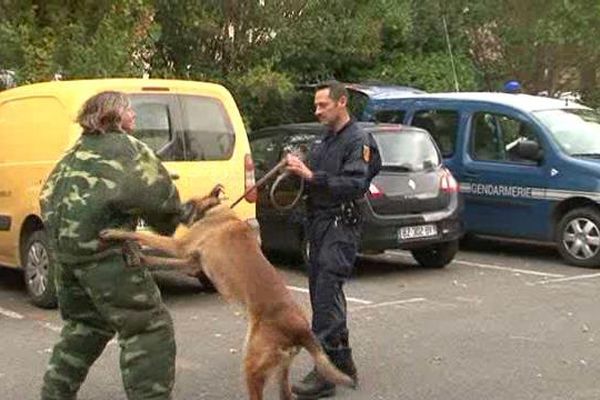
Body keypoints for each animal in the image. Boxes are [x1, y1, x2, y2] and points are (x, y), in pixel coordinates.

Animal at [98, 185, 352, 400]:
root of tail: (302, 330)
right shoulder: (190, 262)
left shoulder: (180, 247)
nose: (171, 208)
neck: (213, 212)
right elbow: (159, 259)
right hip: (281, 370)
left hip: (252, 364)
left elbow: (145, 236)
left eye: (187, 203)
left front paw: (114, 232)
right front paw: (139, 258)